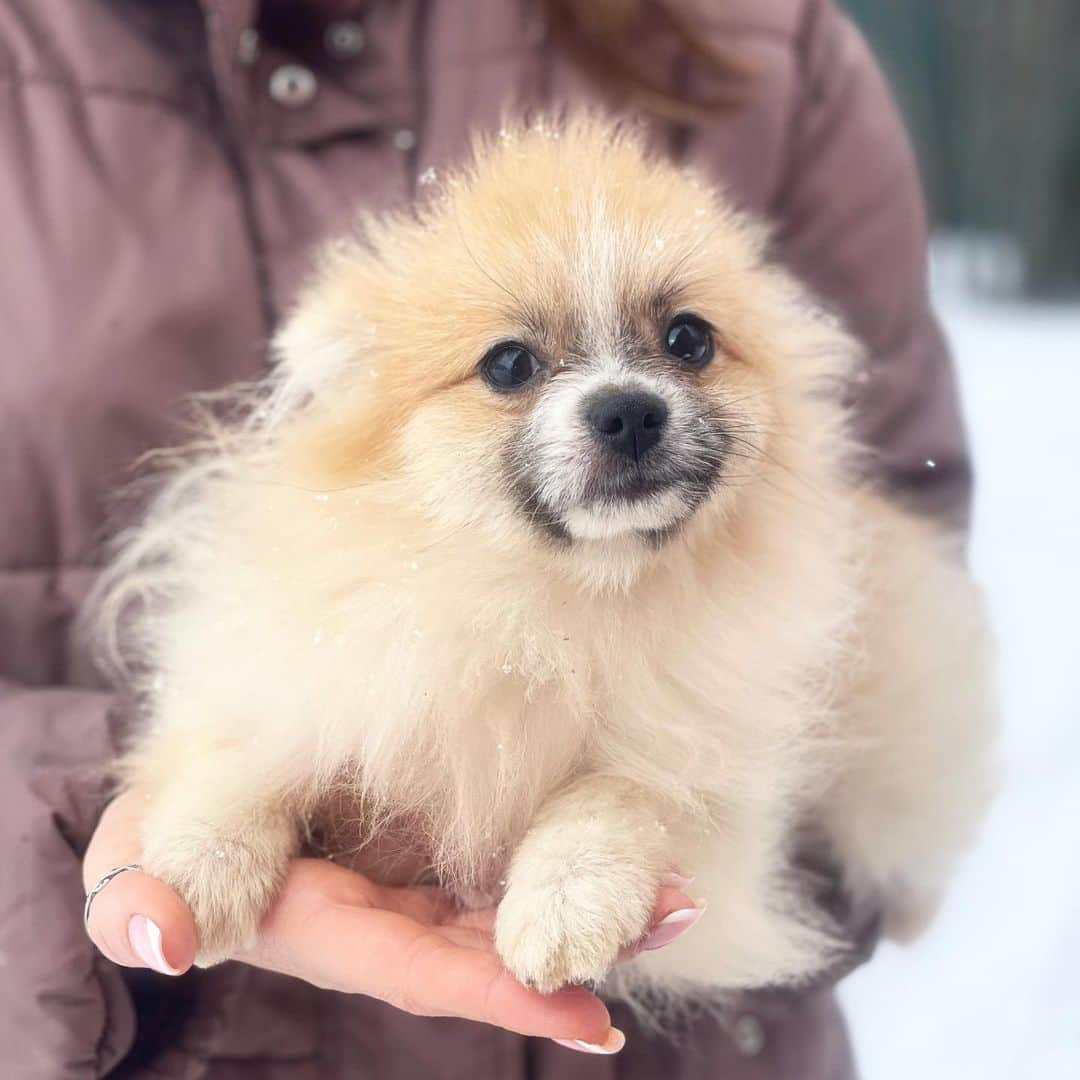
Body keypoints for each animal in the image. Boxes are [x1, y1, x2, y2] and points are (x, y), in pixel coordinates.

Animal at [90, 116, 993, 1010]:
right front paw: (198, 870)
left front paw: (565, 902)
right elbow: (243, 757)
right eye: (509, 364)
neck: (552, 601)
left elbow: (617, 792)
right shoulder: (317, 662)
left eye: (689, 339)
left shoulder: (702, 751)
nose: (629, 410)